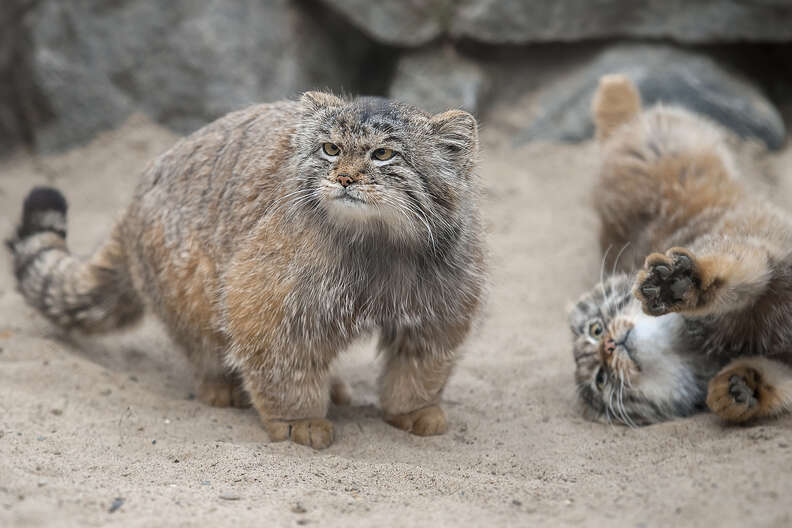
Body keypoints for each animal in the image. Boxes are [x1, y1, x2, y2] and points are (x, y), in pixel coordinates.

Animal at [9, 93, 486, 448]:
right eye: (330, 148)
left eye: (383, 154)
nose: (345, 178)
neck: (380, 244)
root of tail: (133, 201)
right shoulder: (268, 303)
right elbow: (282, 363)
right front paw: (297, 419)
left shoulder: (441, 308)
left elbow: (419, 366)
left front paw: (413, 408)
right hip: (193, 282)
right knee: (204, 342)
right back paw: (223, 384)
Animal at [568, 74, 792, 426]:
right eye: (601, 379)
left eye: (595, 328)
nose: (607, 346)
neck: (697, 344)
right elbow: (776, 380)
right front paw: (740, 388)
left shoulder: (756, 250)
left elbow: (733, 272)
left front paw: (681, 283)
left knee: (621, 123)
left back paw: (615, 90)